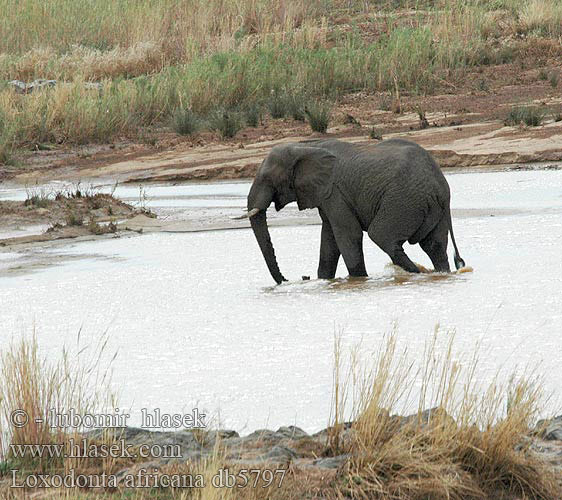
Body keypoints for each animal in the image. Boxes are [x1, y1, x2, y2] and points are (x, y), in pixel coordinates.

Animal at [243, 139, 462, 284]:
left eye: (268, 178)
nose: (291, 279)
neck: (303, 146)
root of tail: (441, 185)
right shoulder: (326, 196)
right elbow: (329, 240)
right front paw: (325, 280)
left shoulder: (335, 192)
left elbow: (348, 235)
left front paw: (357, 280)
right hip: (429, 206)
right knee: (434, 246)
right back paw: (438, 273)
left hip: (404, 199)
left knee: (382, 237)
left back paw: (417, 273)